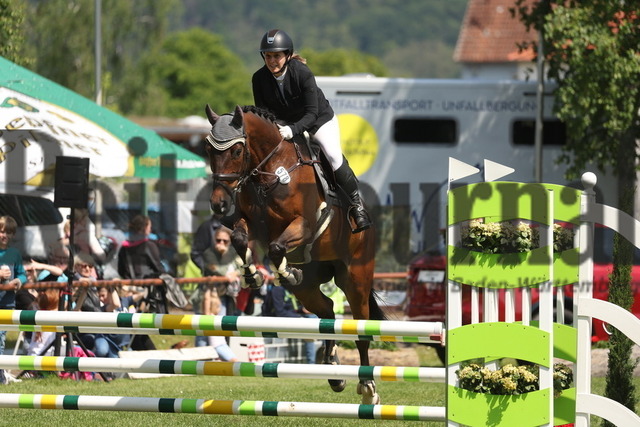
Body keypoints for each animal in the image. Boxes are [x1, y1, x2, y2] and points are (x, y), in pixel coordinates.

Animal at [204, 104, 384, 404]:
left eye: (237, 151)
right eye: (209, 150)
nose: (218, 204)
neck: (270, 171)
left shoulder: (304, 225)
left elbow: (277, 247)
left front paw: (286, 273)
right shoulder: (250, 224)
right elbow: (240, 239)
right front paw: (253, 277)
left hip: (355, 279)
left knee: (360, 327)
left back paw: (368, 387)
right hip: (308, 289)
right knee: (328, 312)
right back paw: (334, 372)